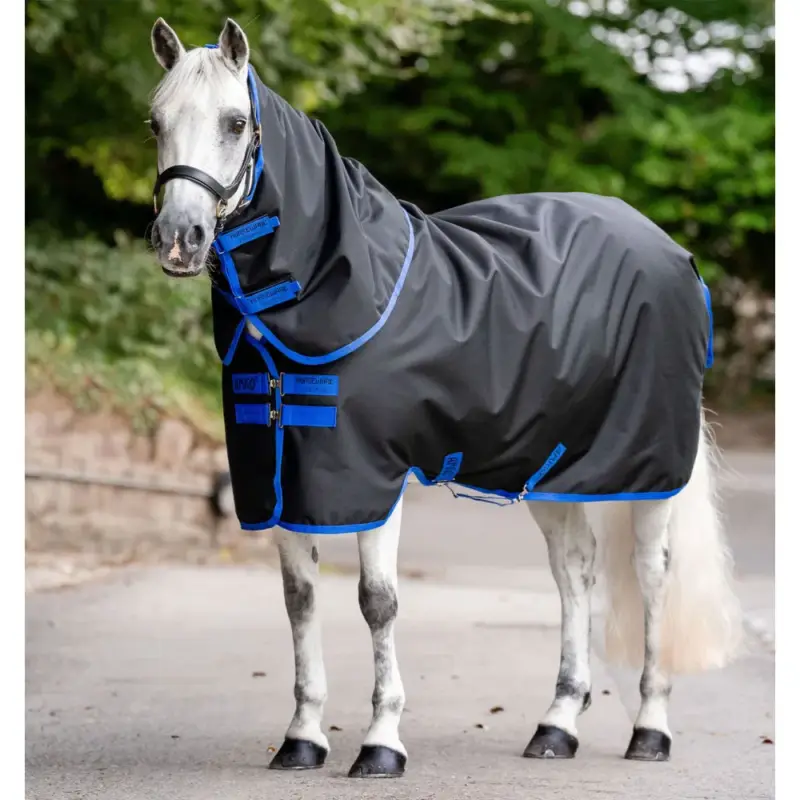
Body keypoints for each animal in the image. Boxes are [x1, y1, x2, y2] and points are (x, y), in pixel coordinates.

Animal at [147, 17, 743, 779]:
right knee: (574, 572)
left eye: (233, 122)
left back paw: (651, 728)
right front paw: (303, 737)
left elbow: (377, 602)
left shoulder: (373, 476)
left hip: (650, 468)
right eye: (155, 121)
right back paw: (556, 725)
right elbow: (299, 600)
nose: (179, 239)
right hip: (550, 466)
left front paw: (381, 742)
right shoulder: (281, 475)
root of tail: (675, 254)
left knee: (654, 575)